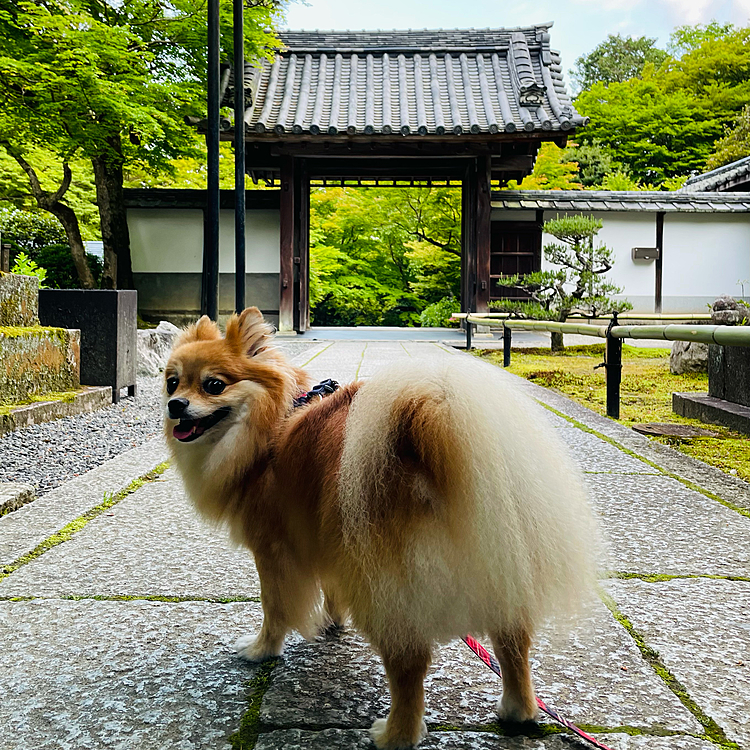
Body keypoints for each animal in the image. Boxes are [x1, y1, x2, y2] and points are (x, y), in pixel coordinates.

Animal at [163, 306, 600, 750]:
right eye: (171, 382)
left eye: (214, 385)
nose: (175, 405)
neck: (274, 418)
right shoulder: (328, 538)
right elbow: (331, 588)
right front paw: (332, 622)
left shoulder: (273, 551)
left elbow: (275, 609)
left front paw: (261, 649)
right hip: (498, 570)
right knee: (514, 645)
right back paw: (518, 711)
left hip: (386, 589)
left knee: (409, 664)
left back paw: (396, 734)